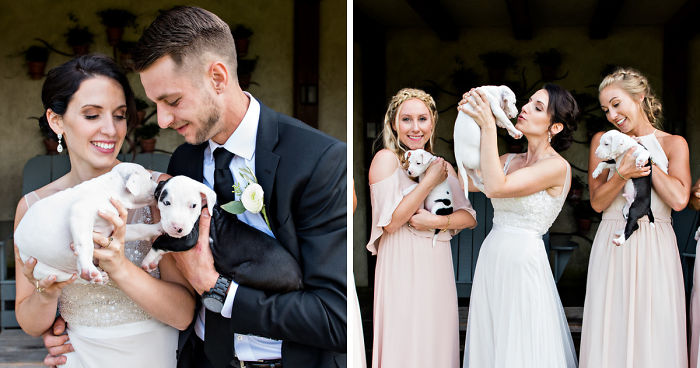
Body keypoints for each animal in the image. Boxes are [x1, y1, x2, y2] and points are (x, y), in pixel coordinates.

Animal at [15, 162, 159, 284]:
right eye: (150, 177)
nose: (161, 184)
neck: (112, 189)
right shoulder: (81, 211)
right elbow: (86, 244)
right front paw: (88, 268)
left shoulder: (113, 228)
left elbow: (139, 229)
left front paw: (158, 228)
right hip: (43, 269)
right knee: (71, 277)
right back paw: (92, 275)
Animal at [146, 176, 302, 294]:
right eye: (166, 202)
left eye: (193, 205)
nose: (178, 228)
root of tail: (300, 279)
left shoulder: (188, 239)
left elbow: (160, 241)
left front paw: (147, 260)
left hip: (246, 271)